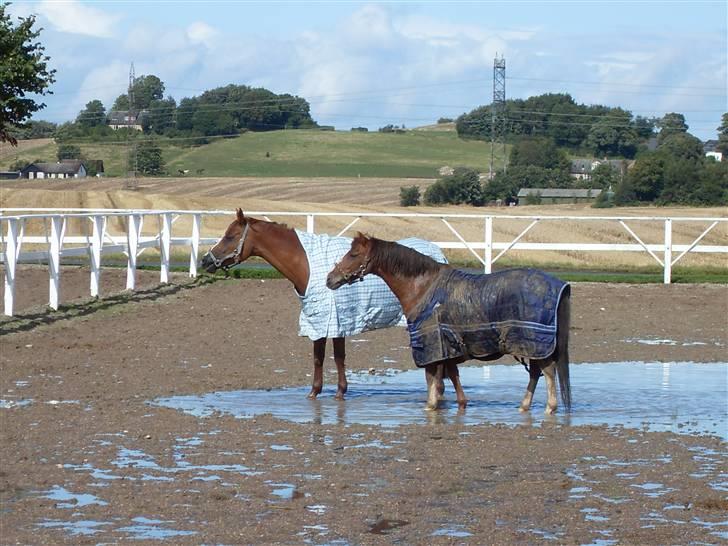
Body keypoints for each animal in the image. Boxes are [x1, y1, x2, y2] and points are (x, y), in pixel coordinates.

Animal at [328, 233, 572, 412]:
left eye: (354, 254)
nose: (330, 279)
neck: (423, 287)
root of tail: (559, 284)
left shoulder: (431, 348)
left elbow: (433, 383)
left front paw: (431, 407)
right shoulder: (447, 348)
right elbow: (453, 378)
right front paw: (461, 404)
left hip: (535, 345)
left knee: (547, 373)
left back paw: (550, 408)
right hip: (531, 347)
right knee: (535, 374)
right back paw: (524, 406)